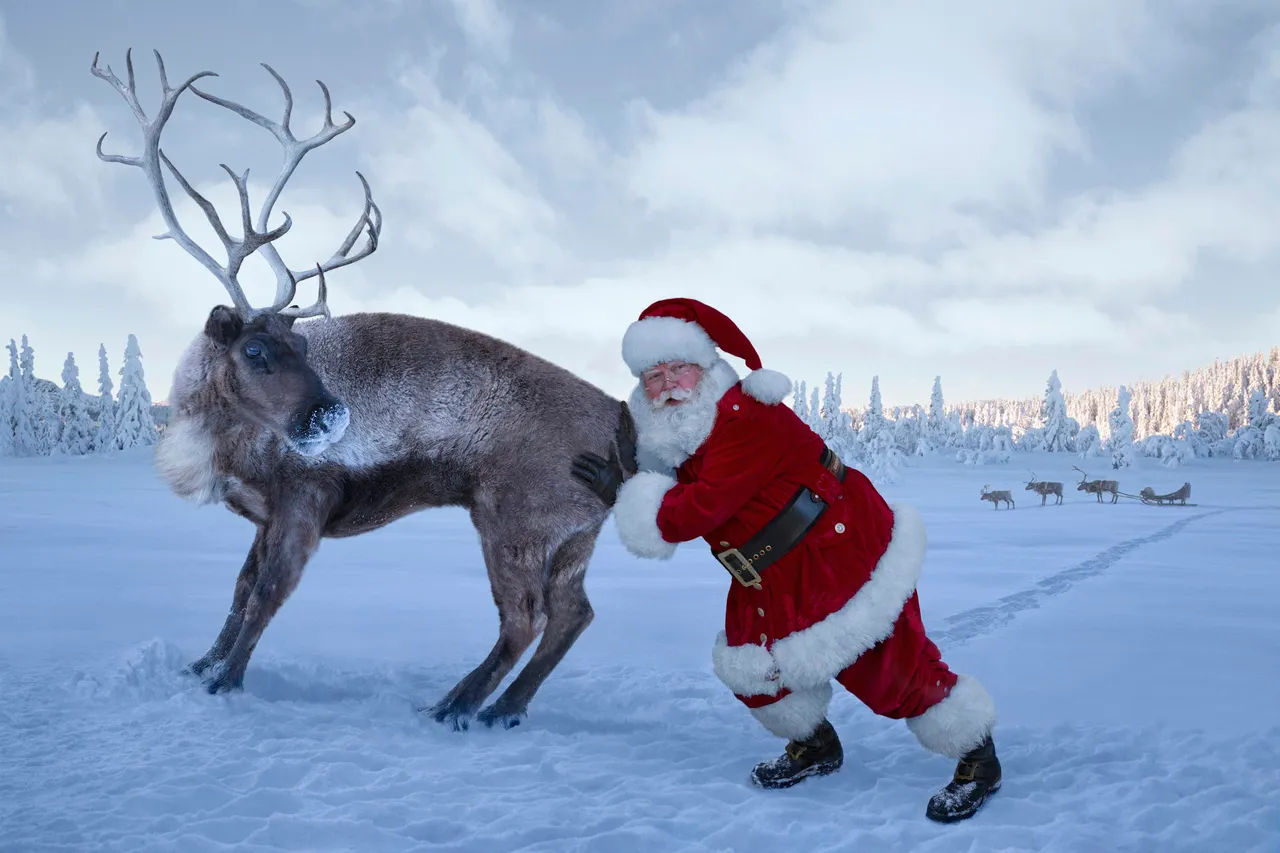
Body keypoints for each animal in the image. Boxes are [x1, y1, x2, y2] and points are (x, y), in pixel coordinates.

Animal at [91, 49, 636, 732]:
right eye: (256, 350)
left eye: (301, 348)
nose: (330, 414)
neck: (218, 447)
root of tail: (624, 422)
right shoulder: (265, 514)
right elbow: (239, 590)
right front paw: (200, 666)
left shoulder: (306, 498)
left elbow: (266, 595)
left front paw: (226, 682)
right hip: (573, 538)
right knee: (573, 614)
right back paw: (502, 709)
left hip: (512, 521)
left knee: (524, 618)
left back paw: (455, 707)